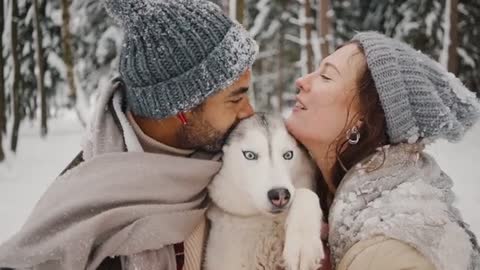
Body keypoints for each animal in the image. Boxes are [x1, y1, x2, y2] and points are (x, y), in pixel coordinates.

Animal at [204, 113, 324, 270]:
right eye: (250, 155)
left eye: (288, 155)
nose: (280, 194)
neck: (263, 220)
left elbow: (306, 193)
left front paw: (303, 245)